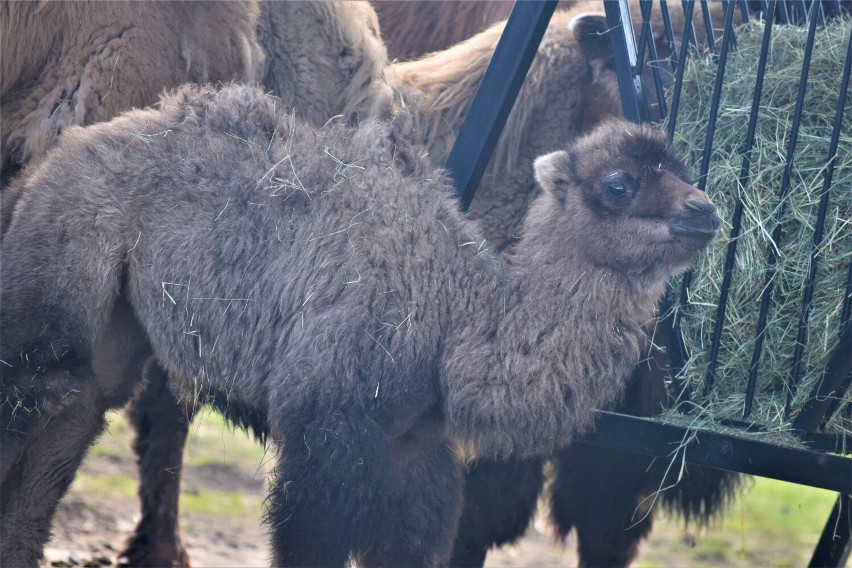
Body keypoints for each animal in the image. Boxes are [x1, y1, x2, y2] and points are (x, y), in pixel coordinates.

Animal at [0, 82, 720, 564]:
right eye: (620, 184)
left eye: (684, 169)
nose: (705, 211)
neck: (456, 316)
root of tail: (59, 155)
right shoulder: (327, 424)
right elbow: (309, 542)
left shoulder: (417, 451)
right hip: (57, 281)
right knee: (33, 395)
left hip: (114, 329)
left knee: (71, 423)